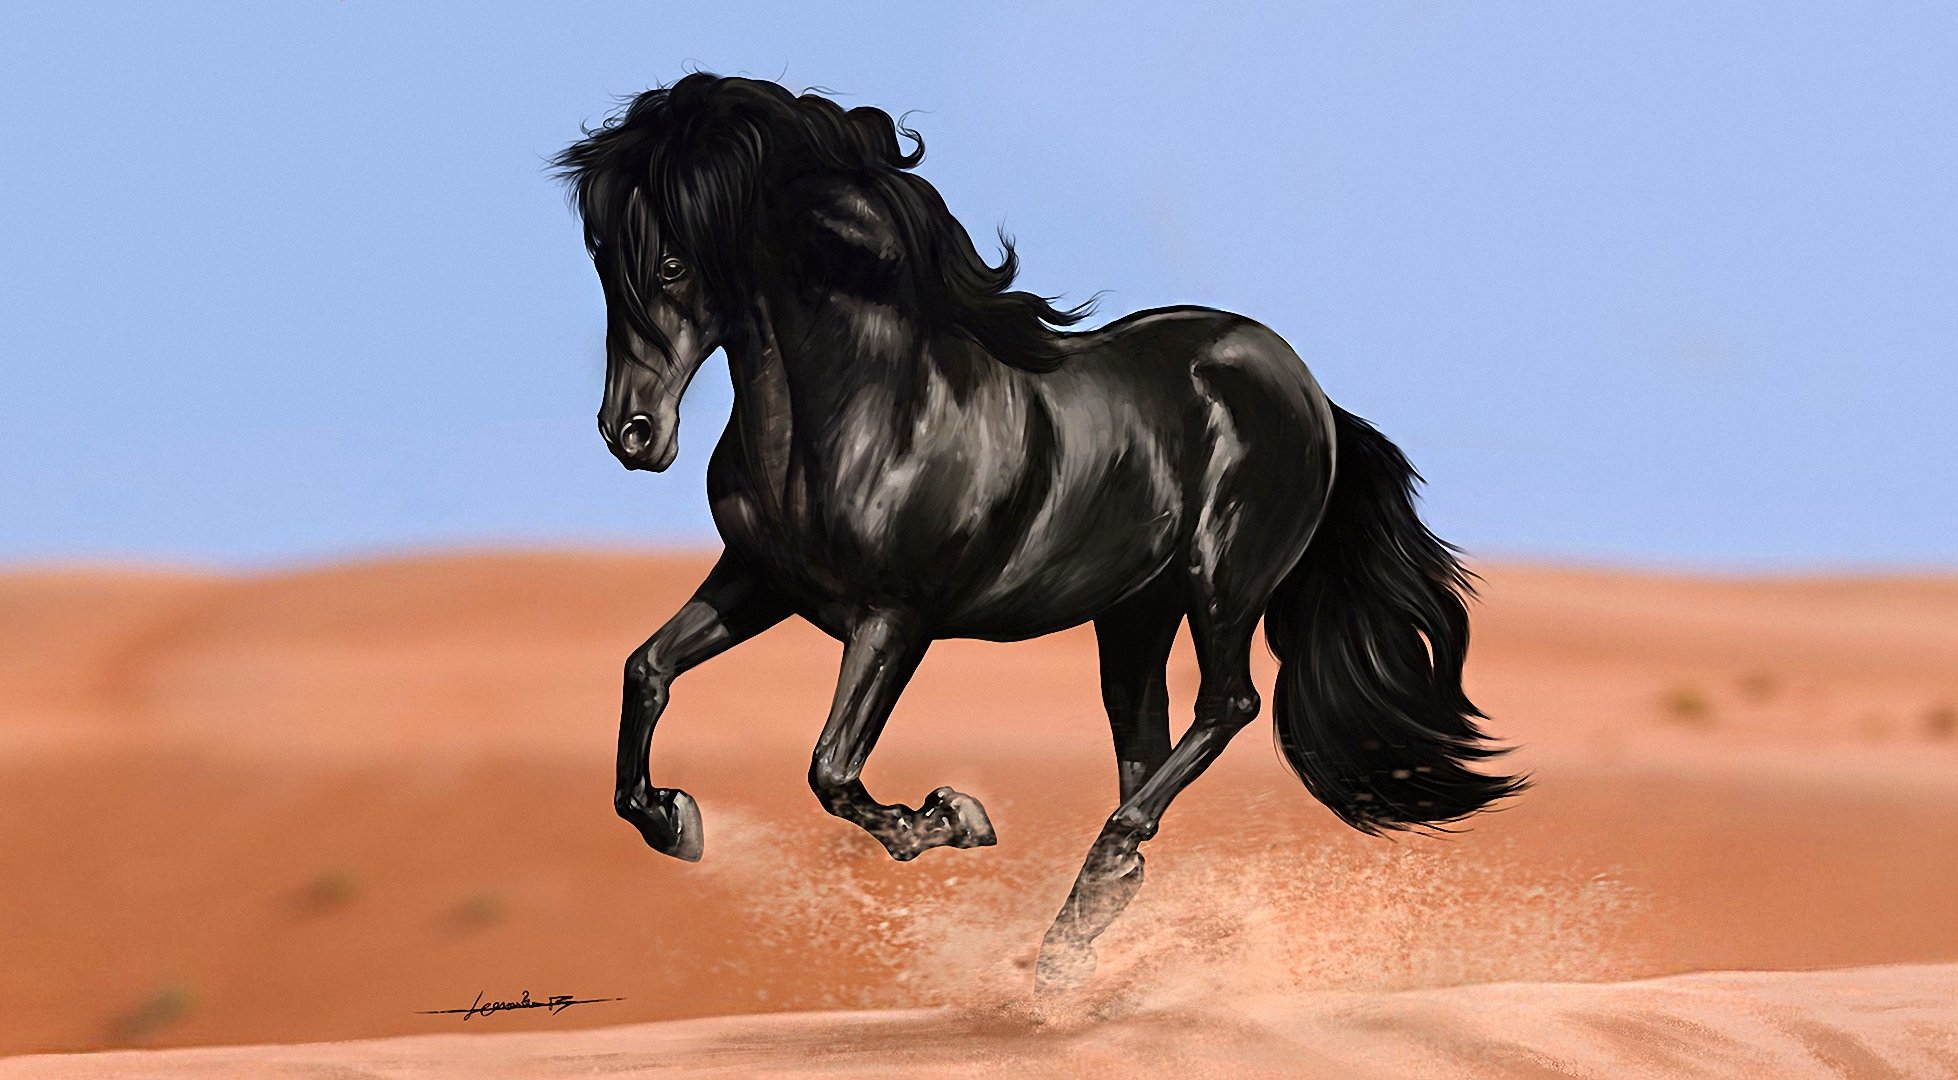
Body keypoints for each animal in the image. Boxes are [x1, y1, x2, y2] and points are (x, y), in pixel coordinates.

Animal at [555, 74, 1525, 988]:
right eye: (601, 258)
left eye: (672, 262)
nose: (631, 435)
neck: (863, 411)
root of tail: (1307, 389)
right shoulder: (761, 581)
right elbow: (646, 670)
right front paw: (672, 819)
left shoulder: (895, 618)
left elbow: (830, 765)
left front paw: (945, 819)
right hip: (1133, 616)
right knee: (1147, 745)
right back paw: (1080, 929)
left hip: (1223, 581)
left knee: (1228, 705)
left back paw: (1092, 885)